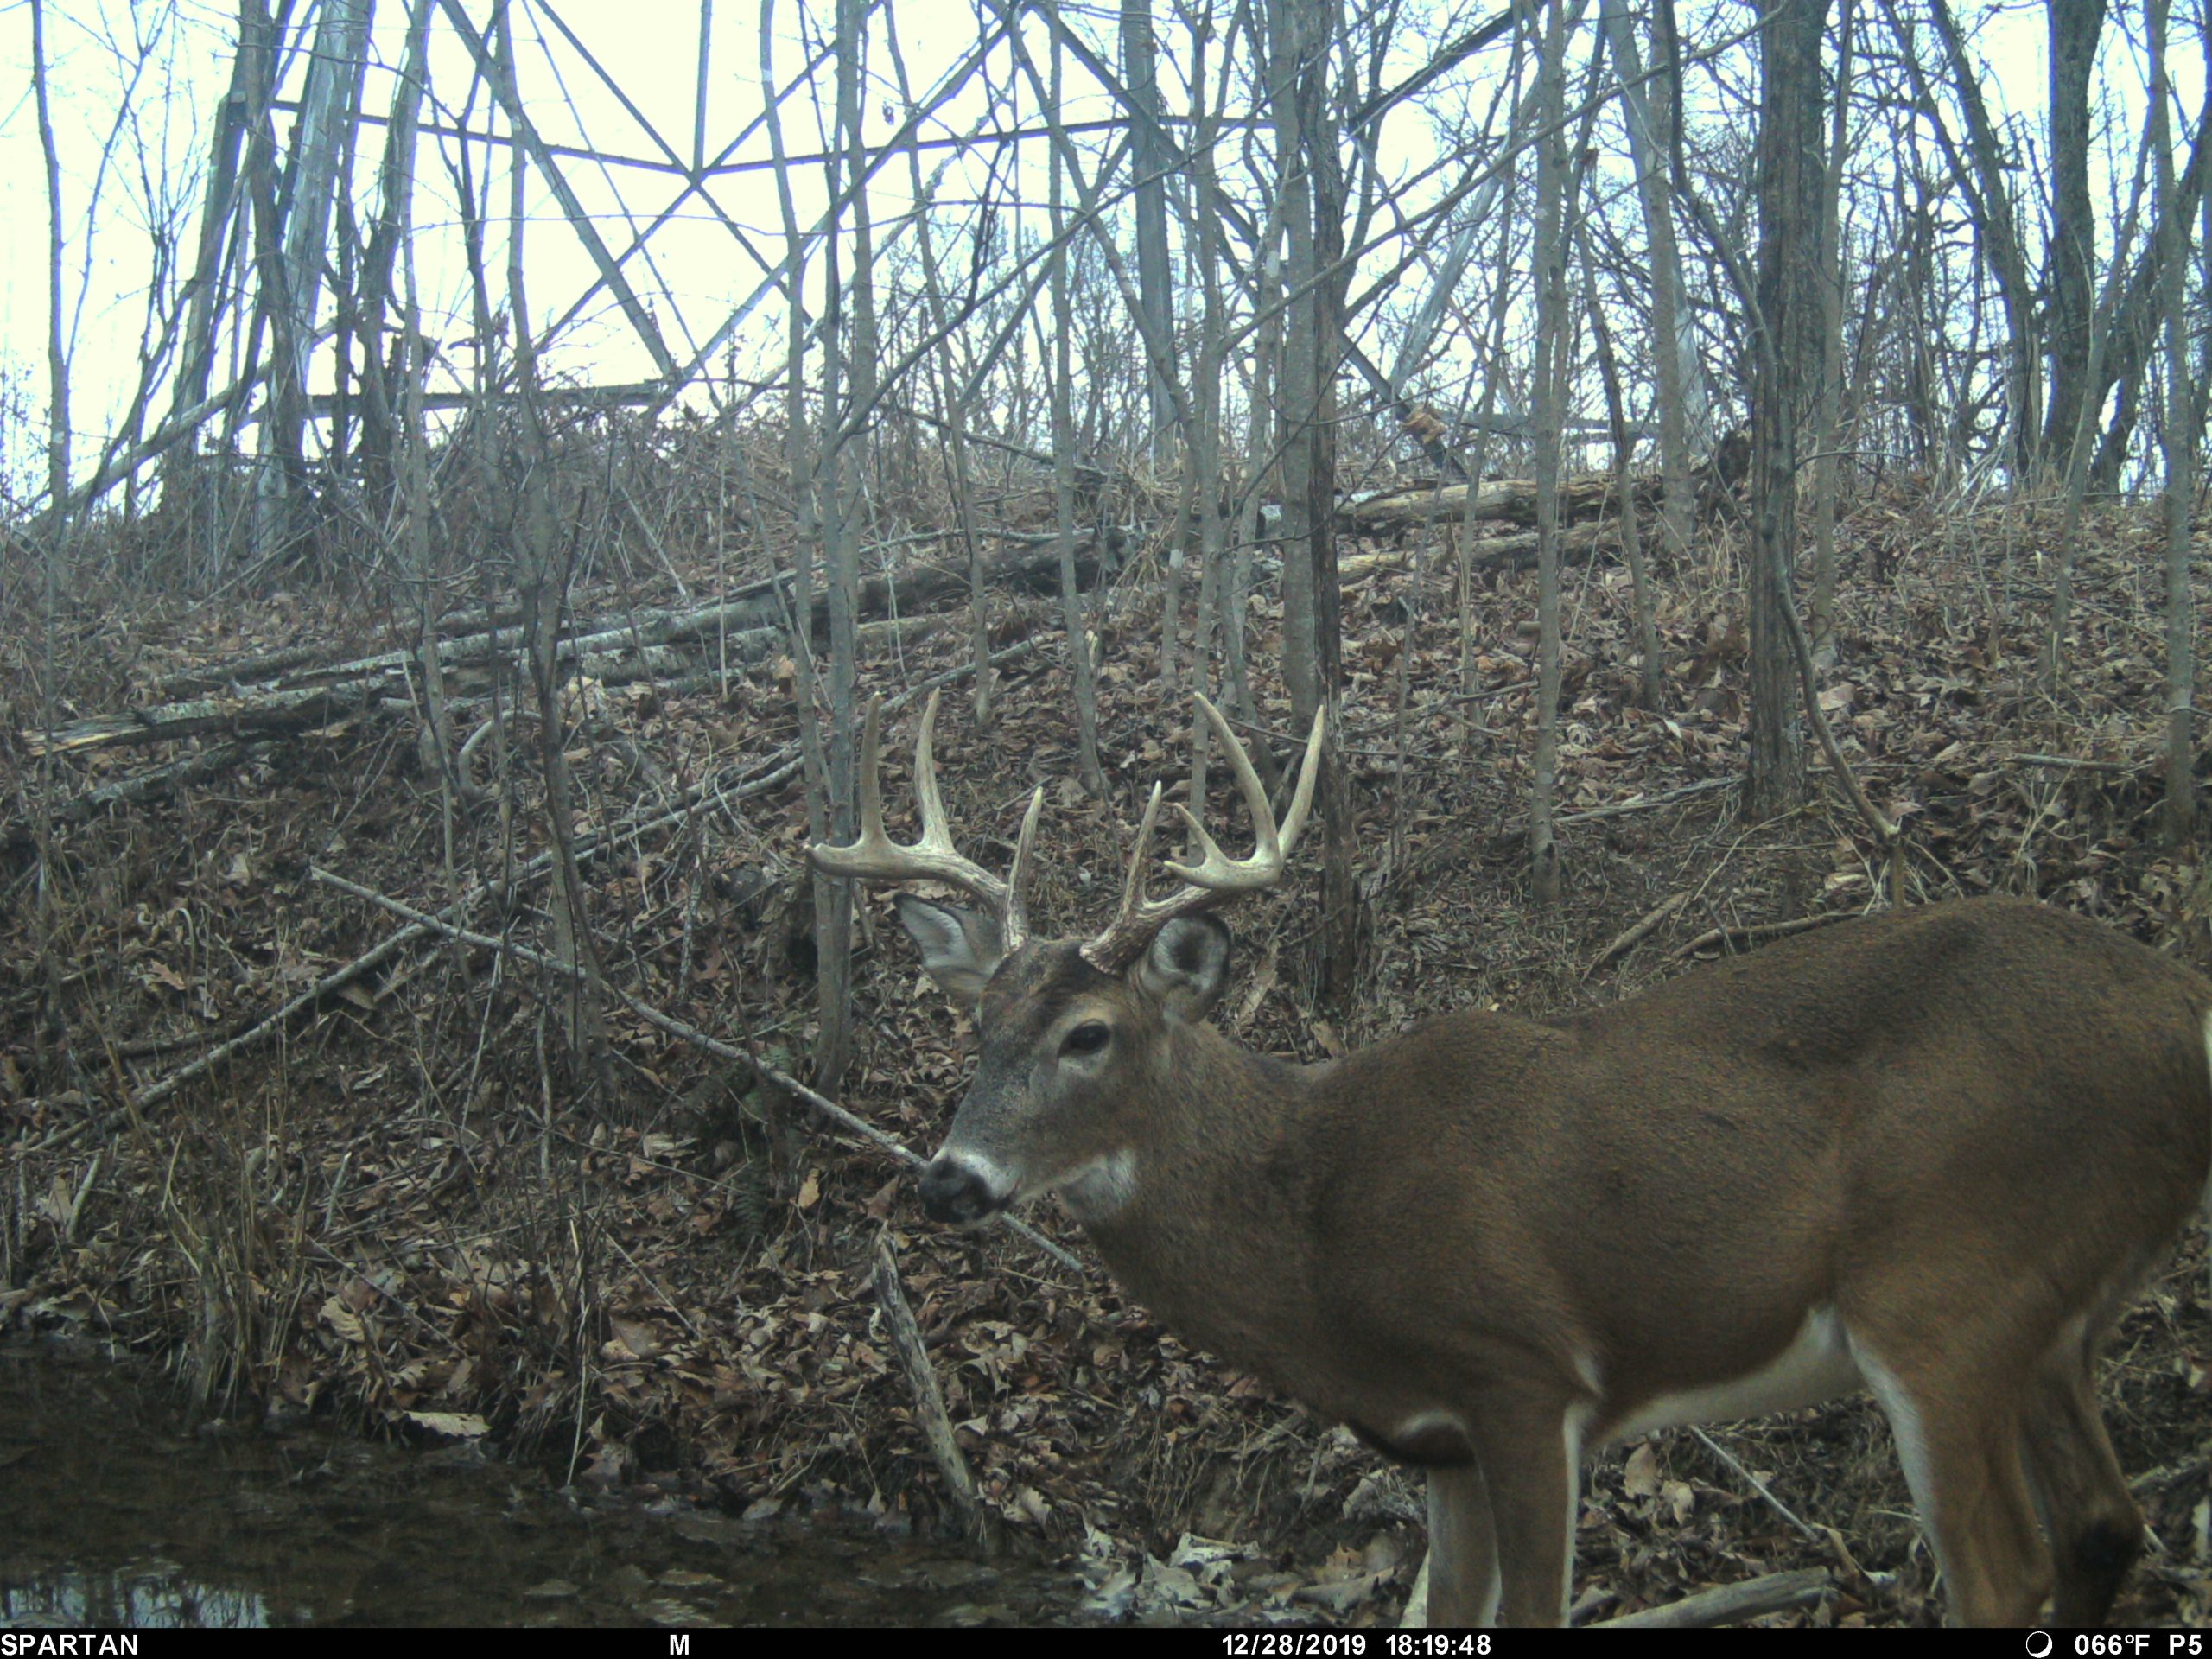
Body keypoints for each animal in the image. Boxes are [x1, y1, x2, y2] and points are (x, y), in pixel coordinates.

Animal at [812, 691, 2212, 1628]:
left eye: (1089, 1034)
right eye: (977, 1029)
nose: (948, 1178)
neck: (1316, 1231)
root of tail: (2182, 1013)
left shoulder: (1525, 1372)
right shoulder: (1436, 1442)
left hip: (1942, 1289)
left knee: (2007, 1573)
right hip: (2049, 1315)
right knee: (2104, 1526)